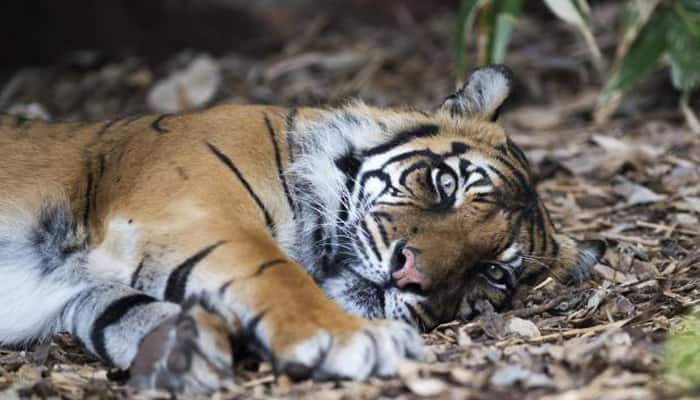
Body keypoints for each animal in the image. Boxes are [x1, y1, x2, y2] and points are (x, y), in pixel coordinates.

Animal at [0, 65, 600, 394]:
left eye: (494, 273)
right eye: (444, 183)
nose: (410, 277)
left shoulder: (77, 286)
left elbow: (111, 307)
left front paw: (180, 348)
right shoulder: (194, 206)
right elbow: (274, 271)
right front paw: (351, 338)